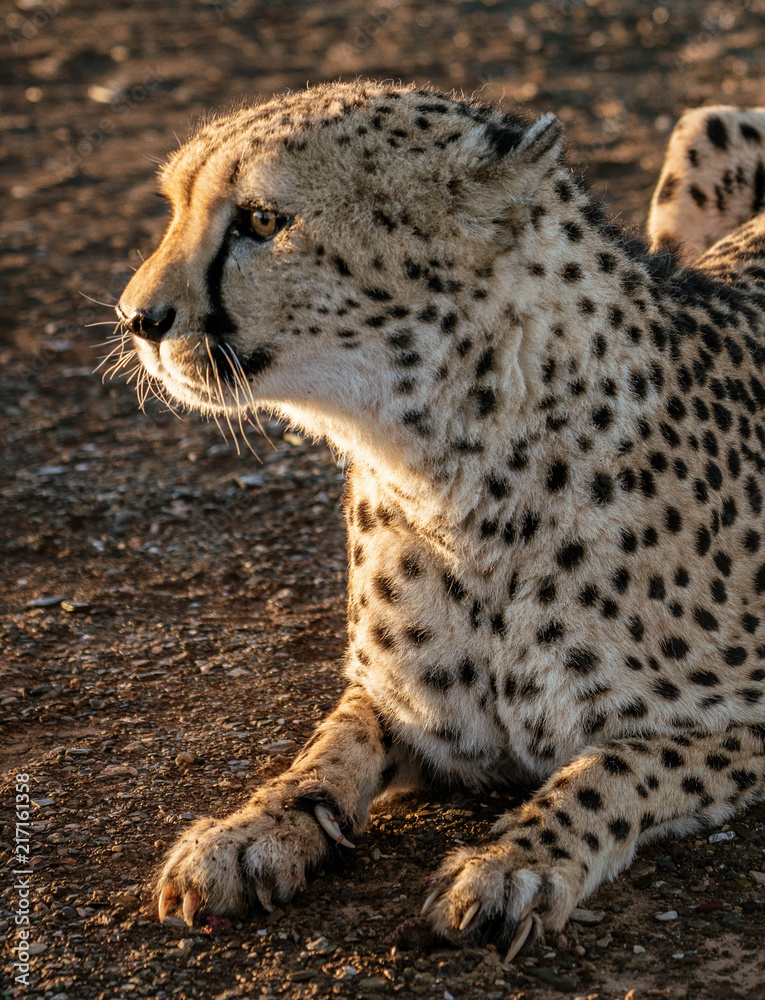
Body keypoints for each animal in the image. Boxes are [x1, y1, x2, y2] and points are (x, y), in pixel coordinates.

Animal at [115, 82, 765, 958]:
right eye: (176, 206)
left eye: (260, 220)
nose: (135, 318)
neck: (452, 474)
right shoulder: (406, 705)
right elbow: (330, 745)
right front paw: (249, 830)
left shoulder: (741, 722)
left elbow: (613, 770)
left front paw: (516, 861)